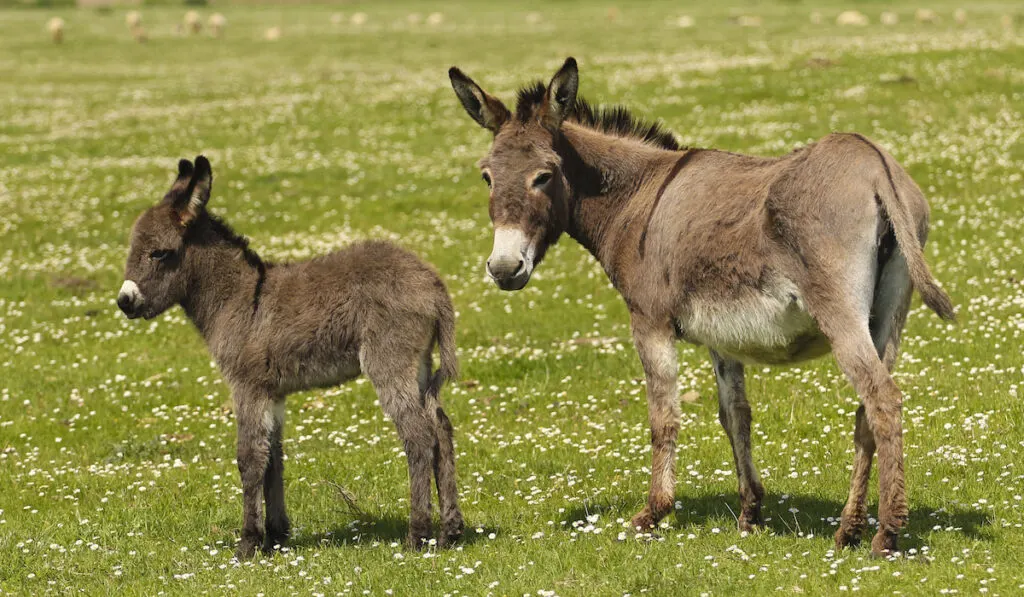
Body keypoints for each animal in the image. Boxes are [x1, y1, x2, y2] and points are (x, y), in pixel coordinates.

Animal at [117, 156, 464, 557]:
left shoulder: (247, 386)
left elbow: (249, 458)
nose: (124, 301)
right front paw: (276, 536)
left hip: (389, 362)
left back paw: (418, 534)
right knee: (441, 428)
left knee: (418, 435)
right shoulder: (273, 392)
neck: (241, 297)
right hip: (419, 364)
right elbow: (273, 457)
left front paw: (249, 543)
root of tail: (434, 286)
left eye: (160, 252)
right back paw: (451, 531)